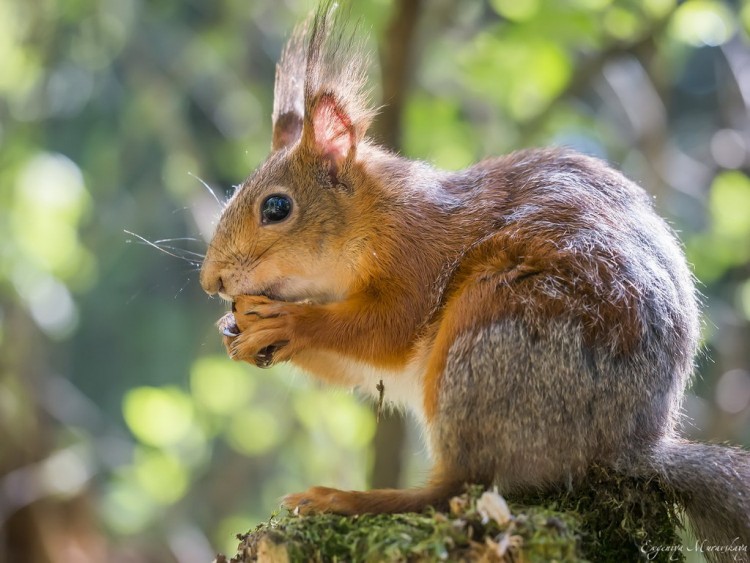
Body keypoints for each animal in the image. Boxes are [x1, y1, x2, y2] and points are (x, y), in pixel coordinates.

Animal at [200, 1, 750, 556]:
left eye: (276, 207)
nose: (211, 282)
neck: (374, 217)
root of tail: (628, 445)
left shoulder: (418, 257)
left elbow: (388, 329)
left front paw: (291, 323)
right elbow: (357, 365)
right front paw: (234, 332)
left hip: (494, 337)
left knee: (455, 487)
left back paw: (349, 499)